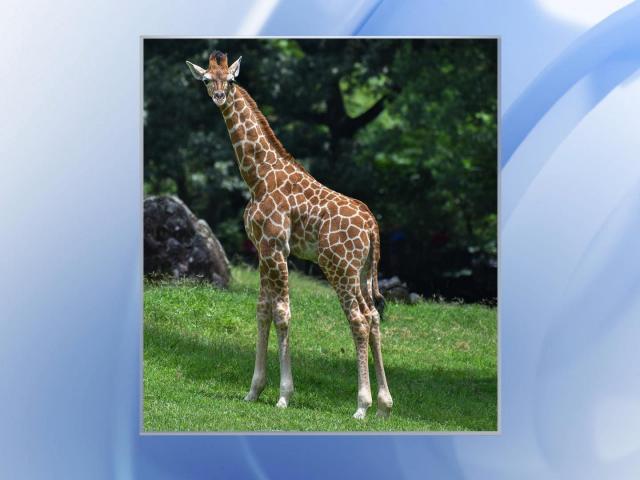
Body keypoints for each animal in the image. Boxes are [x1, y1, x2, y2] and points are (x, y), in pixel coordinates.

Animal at [186, 51, 393, 419]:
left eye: (232, 80)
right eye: (207, 79)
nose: (220, 96)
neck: (257, 176)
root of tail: (372, 226)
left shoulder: (275, 247)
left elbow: (282, 313)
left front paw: (284, 395)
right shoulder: (261, 250)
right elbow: (262, 310)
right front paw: (253, 390)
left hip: (339, 267)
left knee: (358, 320)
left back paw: (361, 405)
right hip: (363, 271)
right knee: (372, 317)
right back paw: (384, 405)